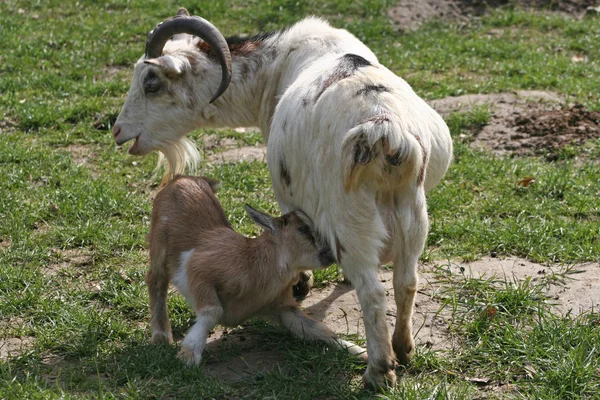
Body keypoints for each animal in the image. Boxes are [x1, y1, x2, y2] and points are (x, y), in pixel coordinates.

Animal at [112, 7, 452, 388]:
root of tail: (384, 128)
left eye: (151, 82)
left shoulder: (292, 197)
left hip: (349, 217)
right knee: (406, 282)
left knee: (373, 294)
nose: (118, 131)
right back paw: (404, 349)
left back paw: (378, 372)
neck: (275, 69)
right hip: (413, 212)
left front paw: (300, 285)